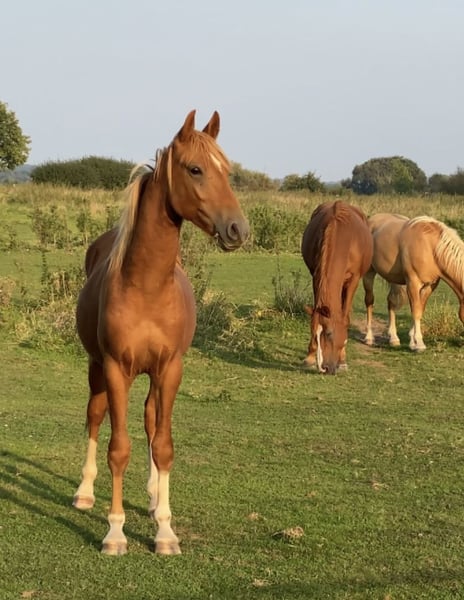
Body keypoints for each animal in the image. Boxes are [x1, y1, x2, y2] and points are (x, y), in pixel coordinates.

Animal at [72, 110, 250, 555]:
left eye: (228, 171)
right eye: (195, 169)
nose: (238, 229)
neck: (148, 286)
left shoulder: (170, 369)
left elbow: (164, 444)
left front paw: (165, 531)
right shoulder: (116, 367)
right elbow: (119, 448)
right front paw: (115, 532)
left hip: (152, 374)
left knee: (152, 423)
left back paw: (154, 499)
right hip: (97, 368)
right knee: (95, 418)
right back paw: (84, 493)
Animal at [301, 200, 373, 374]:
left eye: (329, 333)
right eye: (314, 332)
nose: (324, 368)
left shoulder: (353, 280)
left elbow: (345, 318)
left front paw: (342, 360)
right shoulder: (316, 276)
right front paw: (310, 356)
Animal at [363, 213, 464, 351]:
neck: (431, 247)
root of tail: (371, 220)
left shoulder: (429, 286)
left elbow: (419, 309)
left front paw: (412, 340)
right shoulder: (413, 283)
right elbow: (415, 311)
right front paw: (419, 344)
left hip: (394, 279)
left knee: (391, 302)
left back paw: (393, 338)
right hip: (369, 273)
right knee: (369, 301)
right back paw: (369, 337)